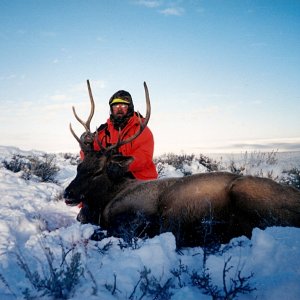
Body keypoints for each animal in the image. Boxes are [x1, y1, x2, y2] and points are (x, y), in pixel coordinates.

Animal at [65, 79, 300, 246]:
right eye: (79, 166)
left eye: (98, 171)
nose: (68, 193)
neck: (107, 200)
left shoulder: (137, 217)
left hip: (247, 192)